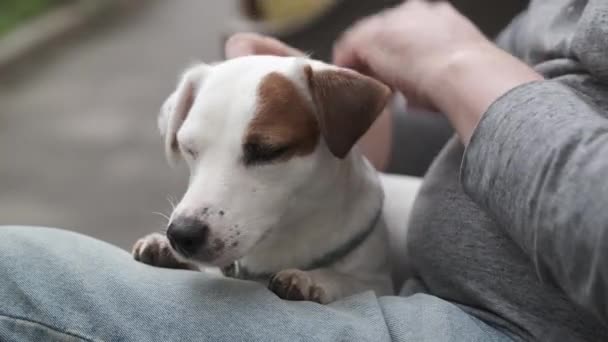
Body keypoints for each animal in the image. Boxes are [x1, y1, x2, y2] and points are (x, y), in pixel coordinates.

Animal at [132, 54, 408, 304]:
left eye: (268, 151)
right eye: (188, 148)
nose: (181, 235)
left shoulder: (379, 282)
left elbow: (352, 282)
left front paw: (316, 278)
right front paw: (165, 249)